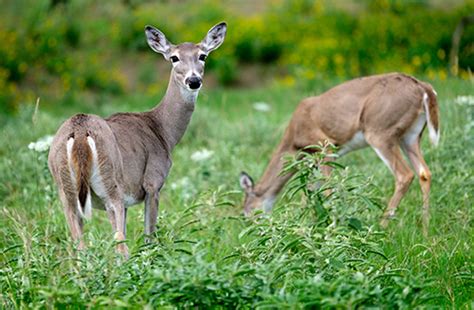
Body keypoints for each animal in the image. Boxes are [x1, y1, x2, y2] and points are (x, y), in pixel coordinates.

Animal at [49, 20, 227, 256]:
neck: (163, 132)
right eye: (174, 57)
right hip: (110, 185)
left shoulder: (127, 200)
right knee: (119, 245)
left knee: (78, 245)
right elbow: (149, 237)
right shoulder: (153, 182)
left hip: (66, 192)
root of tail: (79, 133)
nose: (194, 80)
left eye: (203, 56)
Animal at [241, 72, 440, 232]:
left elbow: (327, 188)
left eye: (245, 212)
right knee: (424, 173)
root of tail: (423, 88)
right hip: (411, 136)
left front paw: (329, 224)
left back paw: (381, 228)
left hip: (380, 131)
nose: (252, 229)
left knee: (404, 174)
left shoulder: (325, 145)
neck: (293, 141)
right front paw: (306, 222)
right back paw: (425, 230)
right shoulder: (318, 157)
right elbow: (311, 191)